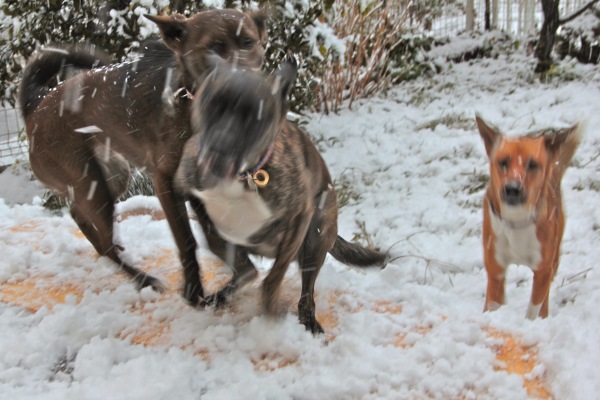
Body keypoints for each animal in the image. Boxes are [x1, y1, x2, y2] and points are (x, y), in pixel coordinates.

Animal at [17, 8, 266, 304]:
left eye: (248, 42)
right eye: (213, 48)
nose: (246, 88)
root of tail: (35, 106)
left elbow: (213, 234)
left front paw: (239, 272)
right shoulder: (165, 182)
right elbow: (187, 240)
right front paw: (194, 292)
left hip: (113, 175)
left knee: (80, 215)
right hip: (91, 183)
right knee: (103, 239)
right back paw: (143, 278)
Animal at [175, 55, 390, 332]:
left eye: (257, 118)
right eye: (212, 104)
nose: (217, 159)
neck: (244, 177)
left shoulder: (301, 218)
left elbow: (273, 277)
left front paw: (270, 313)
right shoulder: (189, 193)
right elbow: (218, 241)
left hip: (316, 236)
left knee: (307, 290)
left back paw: (308, 319)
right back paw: (224, 293)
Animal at [478, 115, 580, 318]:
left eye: (533, 165)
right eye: (502, 162)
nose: (512, 189)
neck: (516, 220)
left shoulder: (542, 271)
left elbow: (534, 308)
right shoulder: (495, 269)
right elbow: (494, 301)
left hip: (554, 258)